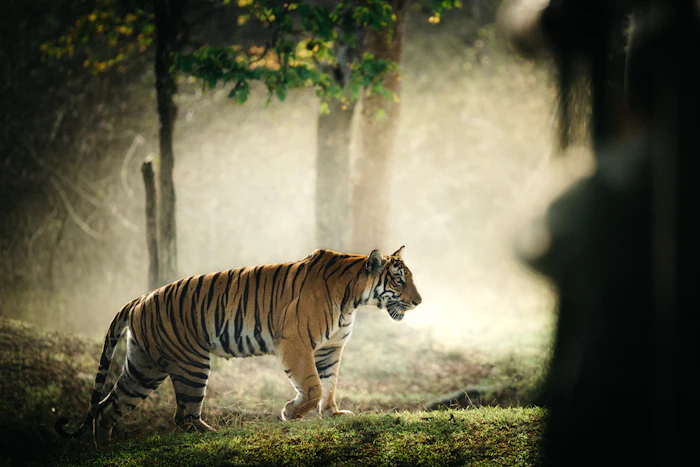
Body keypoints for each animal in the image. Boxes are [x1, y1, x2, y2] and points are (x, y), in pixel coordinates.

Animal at [56, 246, 421, 441]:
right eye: (398, 280)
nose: (418, 302)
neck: (353, 299)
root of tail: (139, 299)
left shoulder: (331, 349)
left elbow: (329, 385)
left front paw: (333, 414)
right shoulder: (295, 342)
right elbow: (313, 386)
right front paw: (290, 412)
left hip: (143, 368)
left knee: (108, 407)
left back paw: (106, 446)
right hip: (191, 364)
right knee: (182, 415)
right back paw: (214, 434)